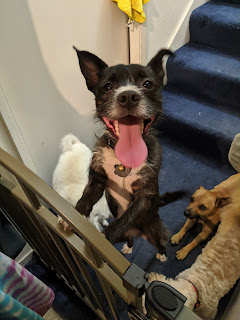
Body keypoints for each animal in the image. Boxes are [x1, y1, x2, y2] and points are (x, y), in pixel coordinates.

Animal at [71, 47, 180, 262]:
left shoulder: (144, 197)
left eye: (147, 84)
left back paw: (161, 254)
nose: (128, 96)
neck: (122, 158)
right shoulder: (97, 179)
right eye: (107, 87)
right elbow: (86, 197)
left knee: (159, 240)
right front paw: (74, 217)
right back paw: (129, 247)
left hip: (154, 229)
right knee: (129, 239)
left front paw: (104, 238)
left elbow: (125, 218)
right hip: (128, 235)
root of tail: (138, 233)